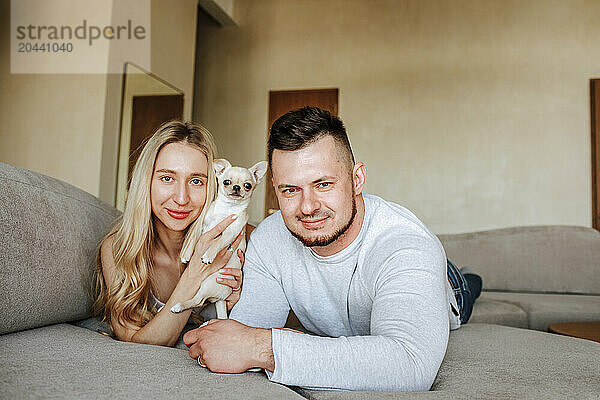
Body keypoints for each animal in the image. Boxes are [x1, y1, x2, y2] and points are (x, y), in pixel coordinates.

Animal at [172, 159, 268, 318]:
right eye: (226, 182)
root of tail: (221, 299)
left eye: (247, 186)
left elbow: (217, 242)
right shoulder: (204, 226)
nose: (236, 187)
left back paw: (179, 306)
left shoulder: (230, 232)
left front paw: (208, 255)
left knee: (198, 301)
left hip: (208, 283)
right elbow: (193, 239)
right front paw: (186, 254)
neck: (227, 209)